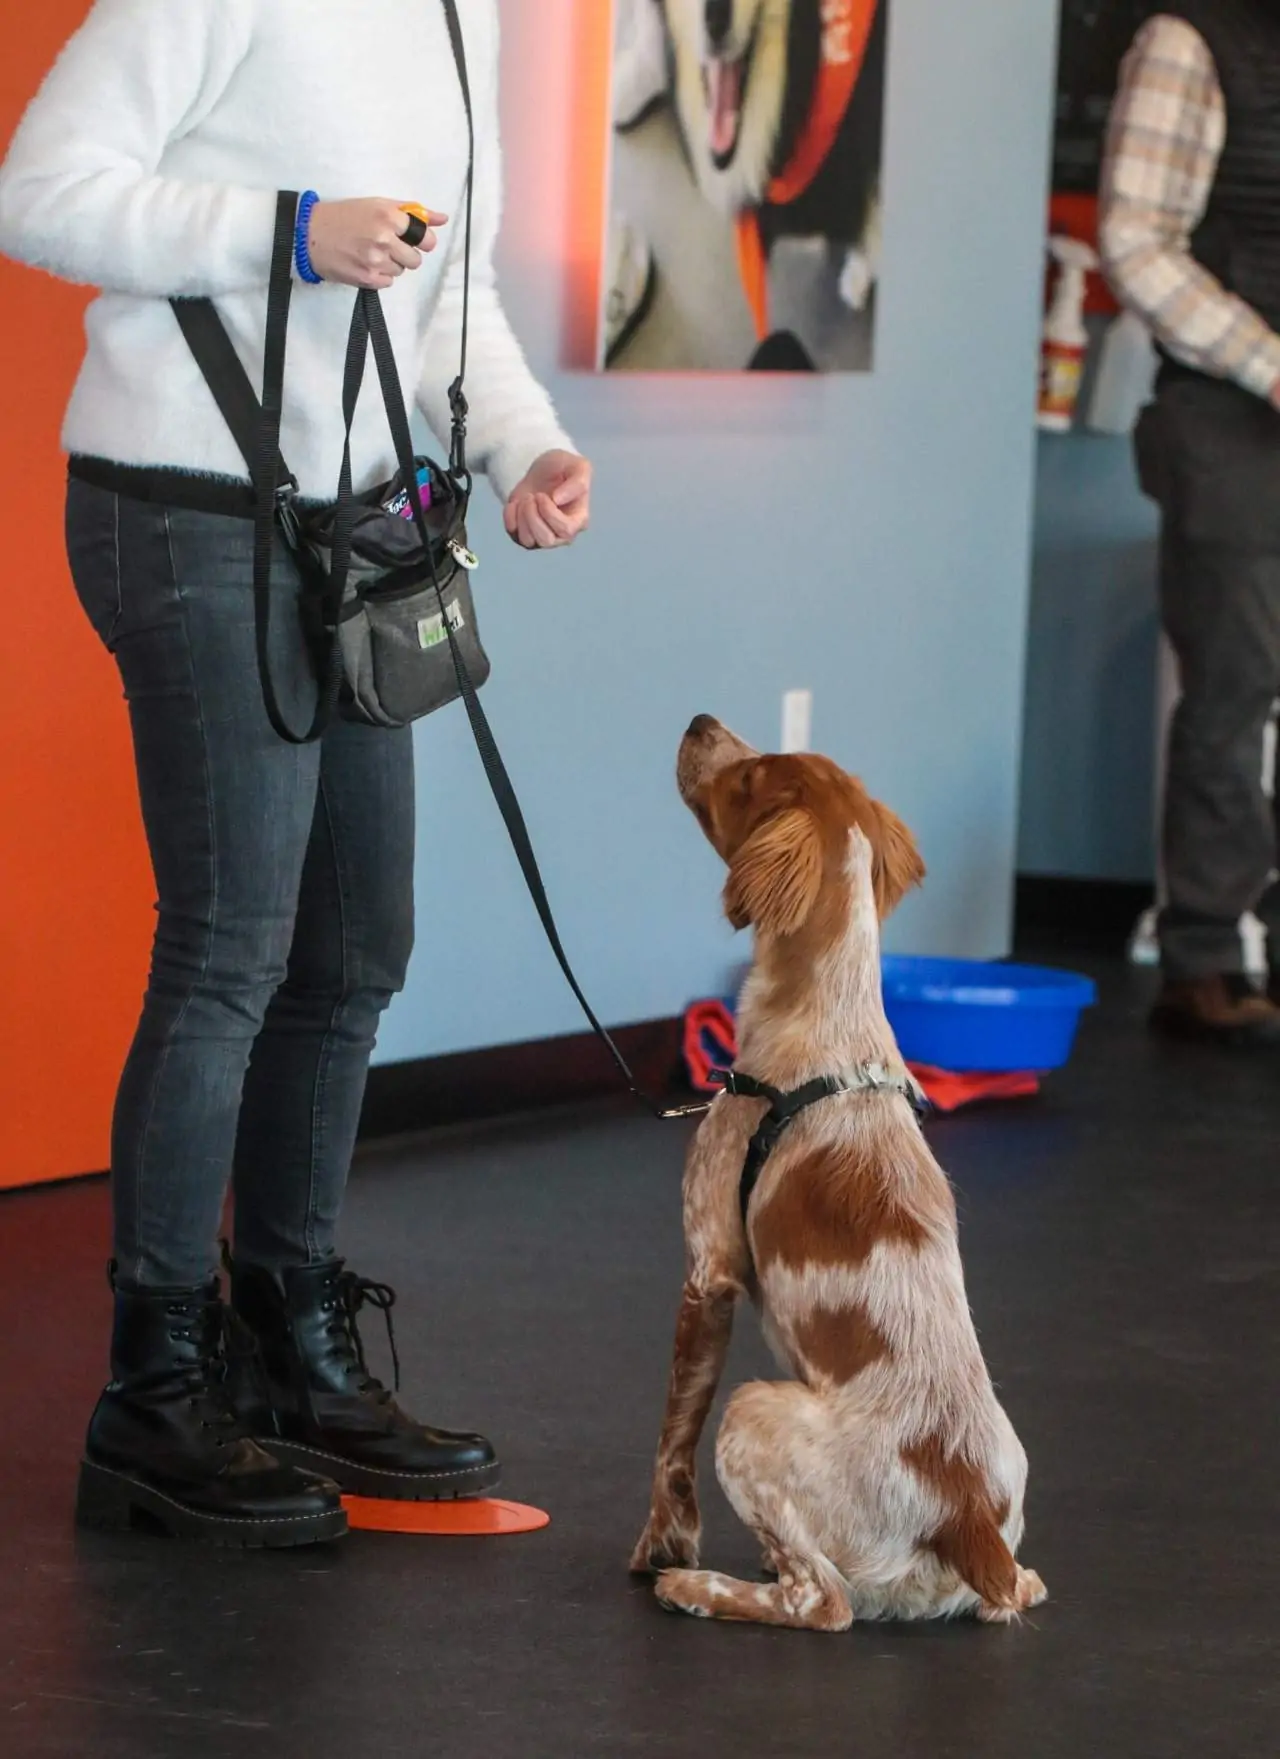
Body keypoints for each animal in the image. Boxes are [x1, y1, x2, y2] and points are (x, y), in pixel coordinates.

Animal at [625, 717, 1047, 1632]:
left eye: (749, 775)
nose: (699, 721)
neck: (833, 1018)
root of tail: (970, 1525)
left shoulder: (708, 1272)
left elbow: (671, 1437)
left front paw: (662, 1548)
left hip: (753, 1409)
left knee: (823, 1600)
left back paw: (701, 1589)